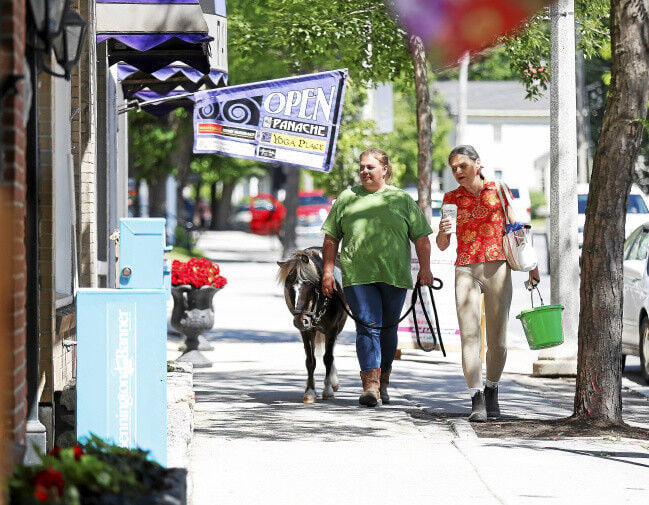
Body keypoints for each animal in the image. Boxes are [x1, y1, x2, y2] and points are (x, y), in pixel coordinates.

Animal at [278, 246, 350, 404]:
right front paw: (310, 391)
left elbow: (328, 358)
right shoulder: (306, 331)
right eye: (288, 286)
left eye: (310, 285)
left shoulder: (332, 329)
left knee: (331, 353)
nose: (300, 320)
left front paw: (327, 390)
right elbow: (310, 361)